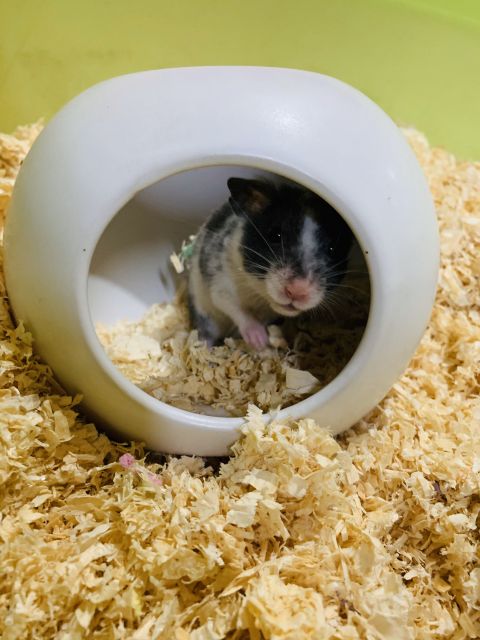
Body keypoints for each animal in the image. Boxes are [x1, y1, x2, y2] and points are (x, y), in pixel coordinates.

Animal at [187, 177, 354, 350]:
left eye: (332, 249)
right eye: (275, 235)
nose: (297, 291)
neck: (260, 296)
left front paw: (267, 343)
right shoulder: (221, 285)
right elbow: (237, 309)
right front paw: (259, 341)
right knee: (206, 335)